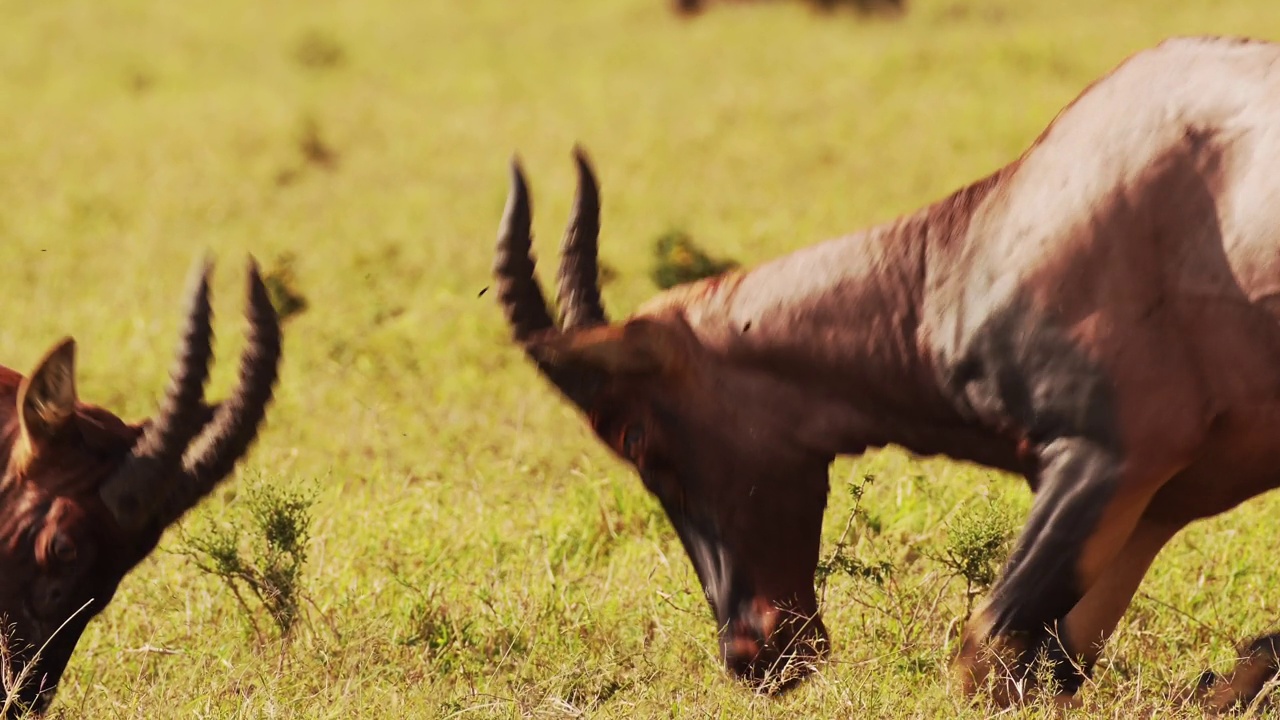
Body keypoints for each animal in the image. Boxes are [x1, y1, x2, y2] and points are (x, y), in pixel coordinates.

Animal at [496, 35, 1280, 707]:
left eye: (632, 436)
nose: (753, 654)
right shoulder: (1155, 504)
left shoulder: (1113, 457)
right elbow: (1065, 664)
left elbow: (980, 661)